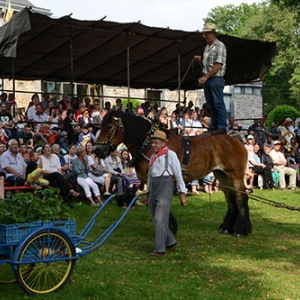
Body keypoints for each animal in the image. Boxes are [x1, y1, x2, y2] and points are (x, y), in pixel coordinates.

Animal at [95, 108, 252, 237]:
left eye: (109, 126)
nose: (97, 150)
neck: (148, 145)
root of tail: (237, 141)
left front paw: (168, 229)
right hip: (222, 176)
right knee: (230, 199)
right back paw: (226, 227)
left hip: (236, 176)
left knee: (241, 198)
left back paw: (240, 230)